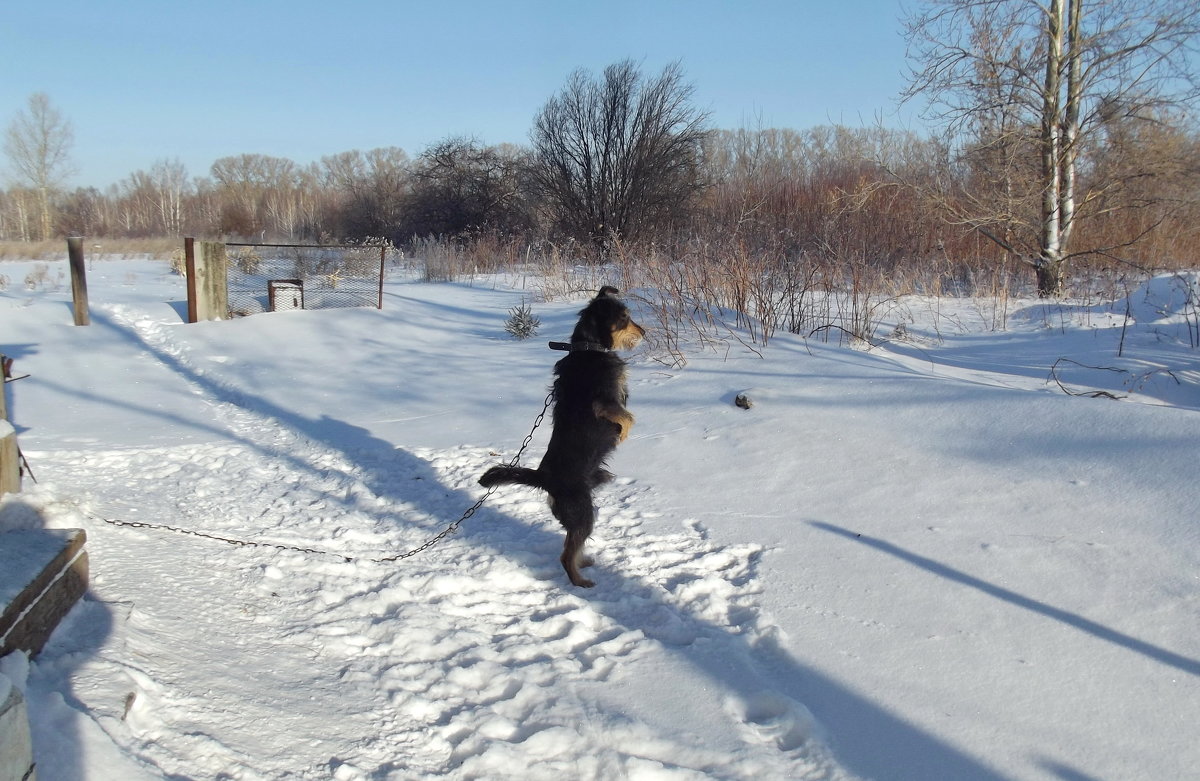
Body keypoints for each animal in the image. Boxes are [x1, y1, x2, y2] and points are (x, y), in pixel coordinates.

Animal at [477, 285, 648, 585]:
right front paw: (624, 434)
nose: (645, 332)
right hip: (583, 513)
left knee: (572, 545)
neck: (589, 348)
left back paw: (584, 563)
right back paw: (580, 581)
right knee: (566, 555)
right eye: (625, 318)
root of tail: (544, 479)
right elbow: (628, 417)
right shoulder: (605, 403)